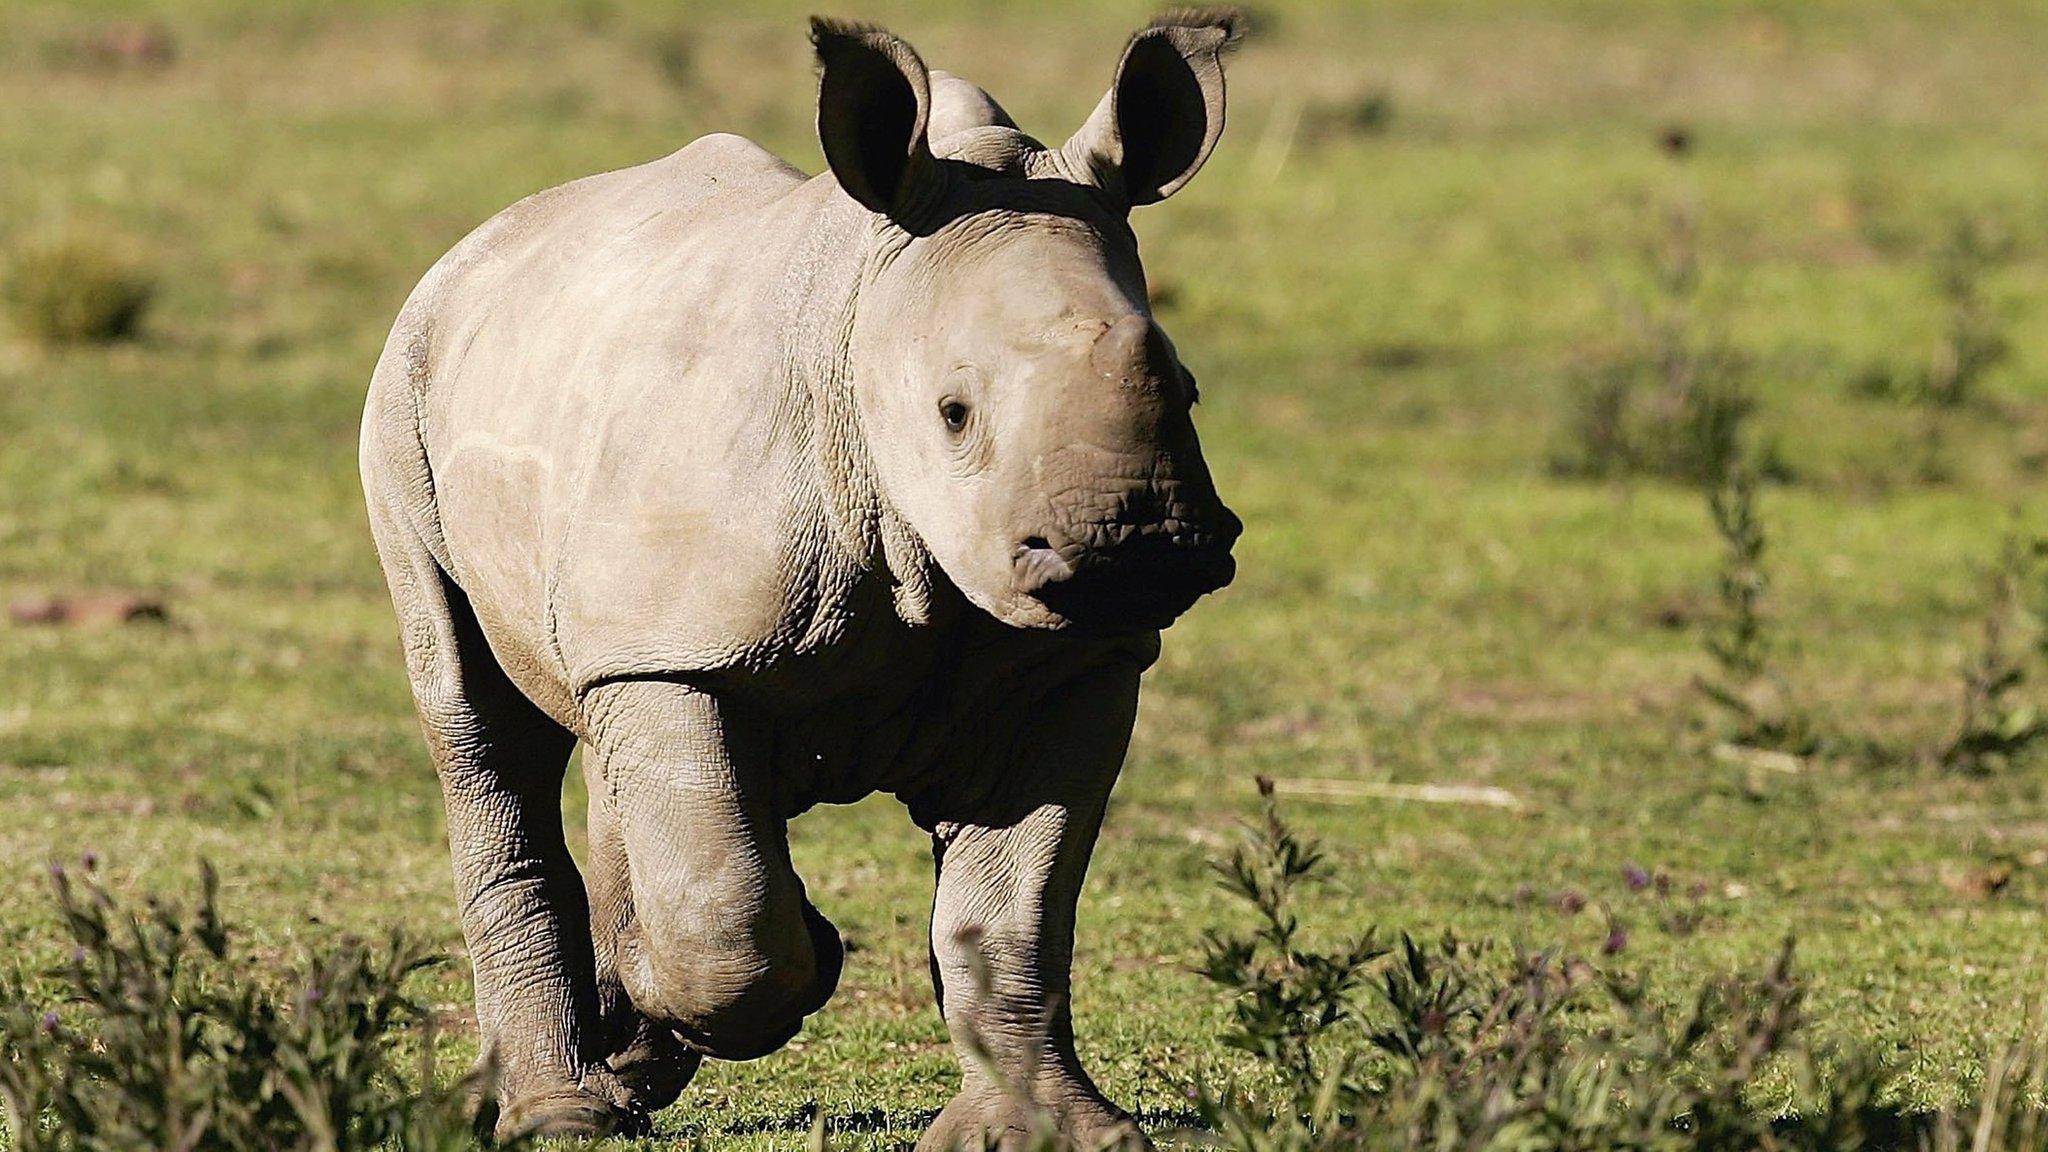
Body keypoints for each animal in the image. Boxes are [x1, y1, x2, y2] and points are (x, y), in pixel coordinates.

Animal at [360, 11, 1236, 1147]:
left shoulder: (1075, 662)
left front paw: (1049, 1130)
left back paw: (623, 1042)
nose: (1140, 546)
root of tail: (480, 244)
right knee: (478, 722)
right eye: (954, 413)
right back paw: (567, 1109)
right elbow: (723, 918)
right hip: (404, 395)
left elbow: (1015, 911)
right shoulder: (676, 653)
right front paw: (748, 972)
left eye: (1188, 389)